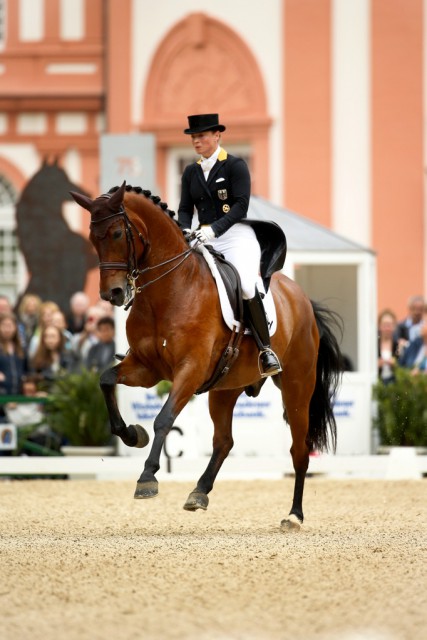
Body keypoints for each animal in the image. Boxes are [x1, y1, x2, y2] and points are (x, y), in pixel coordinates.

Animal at [72, 181, 342, 528]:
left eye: (118, 233)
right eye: (93, 239)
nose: (113, 294)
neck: (168, 290)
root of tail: (303, 299)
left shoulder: (190, 369)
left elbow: (164, 419)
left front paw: (147, 478)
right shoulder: (146, 368)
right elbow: (106, 380)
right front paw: (133, 435)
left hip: (297, 386)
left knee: (299, 449)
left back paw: (294, 515)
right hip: (225, 388)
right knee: (224, 441)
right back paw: (199, 492)